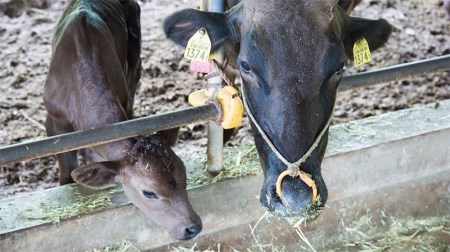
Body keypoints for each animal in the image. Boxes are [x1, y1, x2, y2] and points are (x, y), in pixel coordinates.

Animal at [44, 0, 202, 240]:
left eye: (183, 174)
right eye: (149, 193)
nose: (193, 227)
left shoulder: (125, 100)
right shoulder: (53, 122)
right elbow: (66, 171)